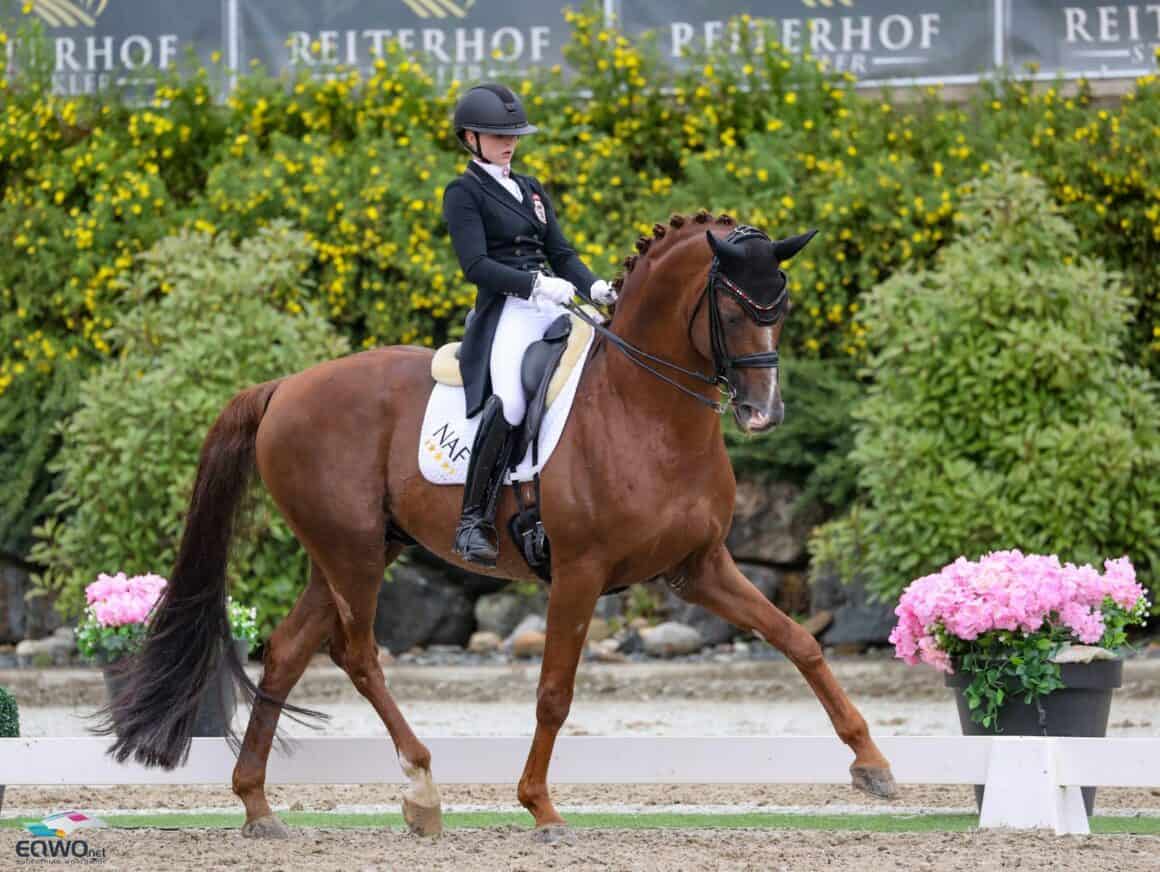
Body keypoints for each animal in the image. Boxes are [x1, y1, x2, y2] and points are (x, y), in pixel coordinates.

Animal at [104, 209, 895, 839]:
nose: (764, 414)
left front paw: (872, 764)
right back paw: (420, 788)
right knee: (355, 654)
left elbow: (799, 642)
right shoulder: (578, 573)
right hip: (351, 552)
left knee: (292, 649)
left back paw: (258, 806)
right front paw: (540, 807)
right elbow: (553, 694)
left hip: (354, 551)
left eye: (780, 307)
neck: (645, 411)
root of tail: (284, 387)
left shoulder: (698, 568)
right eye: (729, 311)